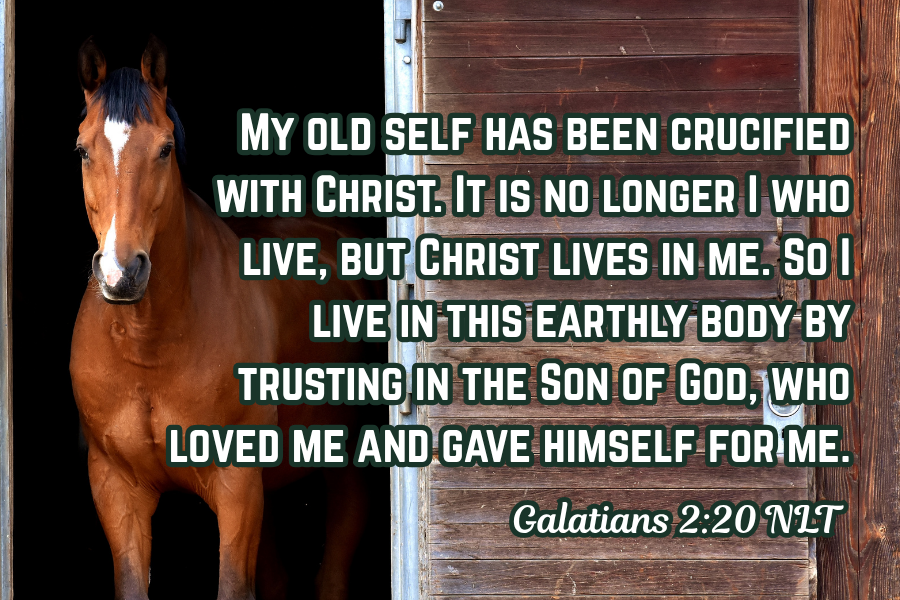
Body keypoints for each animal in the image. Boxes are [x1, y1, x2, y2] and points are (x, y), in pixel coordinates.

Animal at [69, 36, 373, 600]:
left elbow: (233, 585)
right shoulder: (116, 487)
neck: (150, 346)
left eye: (165, 148)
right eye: (82, 150)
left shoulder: (236, 486)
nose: (122, 273)